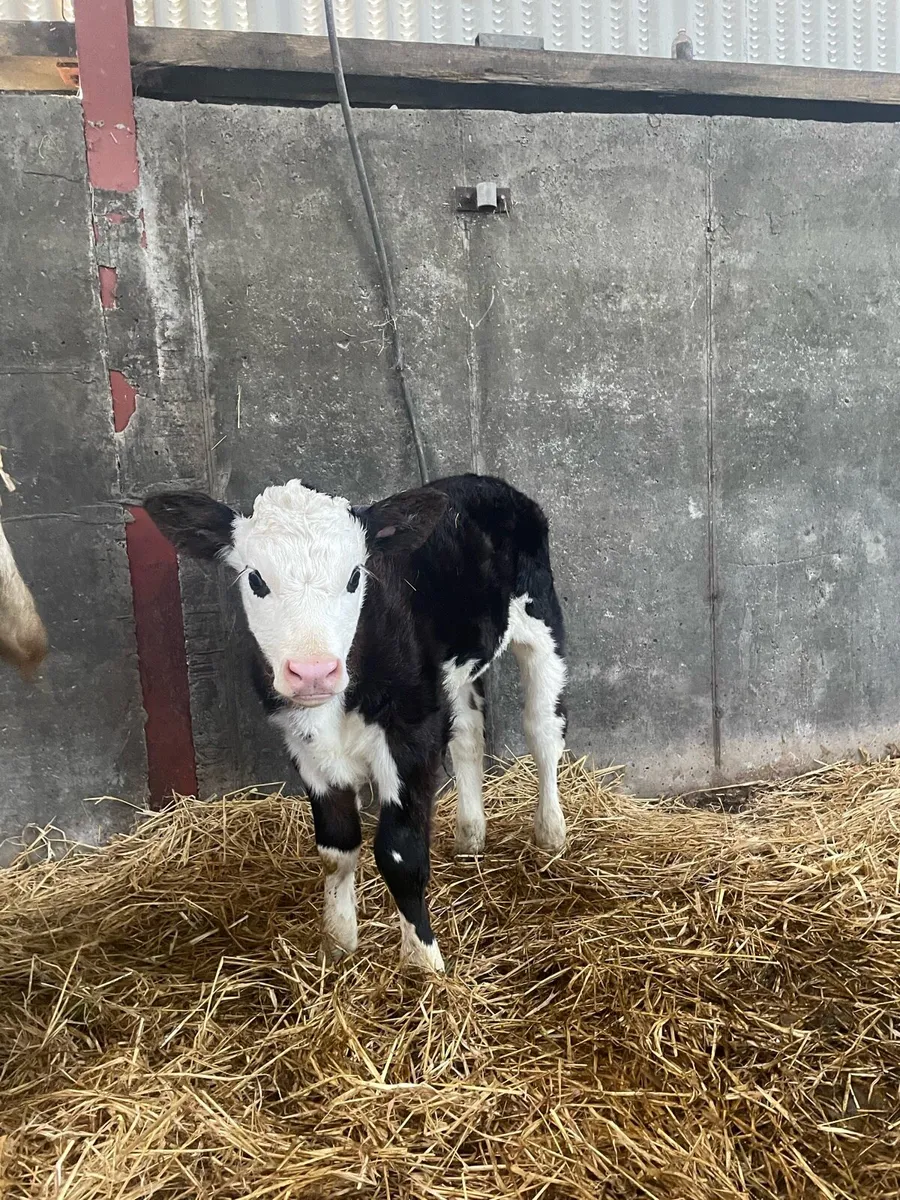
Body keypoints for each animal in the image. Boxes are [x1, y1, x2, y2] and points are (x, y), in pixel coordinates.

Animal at [145, 474, 567, 971]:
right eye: (256, 578)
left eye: (354, 576)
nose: (312, 671)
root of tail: (482, 481)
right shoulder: (305, 747)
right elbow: (336, 849)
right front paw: (338, 942)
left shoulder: (411, 735)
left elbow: (401, 854)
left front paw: (424, 963)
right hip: (455, 675)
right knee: (468, 736)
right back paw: (470, 836)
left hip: (541, 623)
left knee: (543, 730)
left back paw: (551, 833)